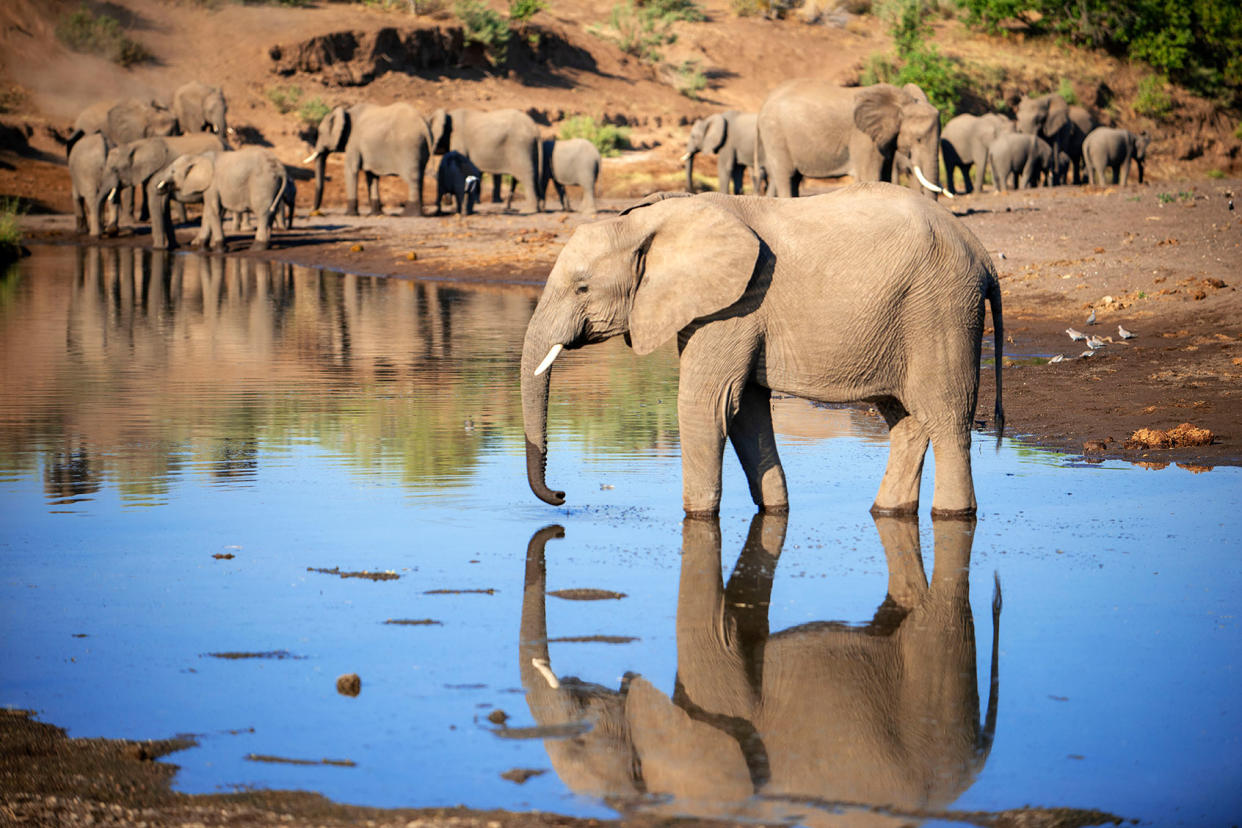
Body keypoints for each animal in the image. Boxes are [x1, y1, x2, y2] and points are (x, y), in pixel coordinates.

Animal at [154, 148, 286, 250]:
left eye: (173, 171)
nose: (158, 189)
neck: (198, 157)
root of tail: (281, 169)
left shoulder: (212, 185)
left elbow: (213, 210)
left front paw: (220, 249)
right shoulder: (209, 188)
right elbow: (208, 212)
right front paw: (203, 247)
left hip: (263, 184)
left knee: (263, 213)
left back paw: (256, 248)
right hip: (272, 185)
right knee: (271, 213)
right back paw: (266, 246)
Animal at [304, 101, 432, 217]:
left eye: (320, 133)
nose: (314, 212)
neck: (346, 112)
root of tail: (423, 124)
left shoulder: (353, 142)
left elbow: (351, 170)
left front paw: (350, 215)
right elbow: (371, 175)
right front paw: (375, 214)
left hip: (409, 147)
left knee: (412, 178)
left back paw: (408, 215)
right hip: (420, 147)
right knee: (420, 177)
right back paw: (417, 214)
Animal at [519, 182, 1003, 518]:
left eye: (582, 287)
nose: (562, 494)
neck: (659, 219)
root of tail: (983, 254)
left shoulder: (735, 305)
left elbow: (706, 405)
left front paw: (697, 518)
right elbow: (746, 412)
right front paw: (775, 511)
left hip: (940, 309)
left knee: (946, 417)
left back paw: (953, 514)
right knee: (906, 419)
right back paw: (887, 511)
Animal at [750, 79, 943, 198]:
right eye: (919, 139)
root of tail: (763, 104)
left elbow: (885, 176)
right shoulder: (862, 137)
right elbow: (870, 175)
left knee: (794, 179)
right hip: (775, 134)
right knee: (786, 176)